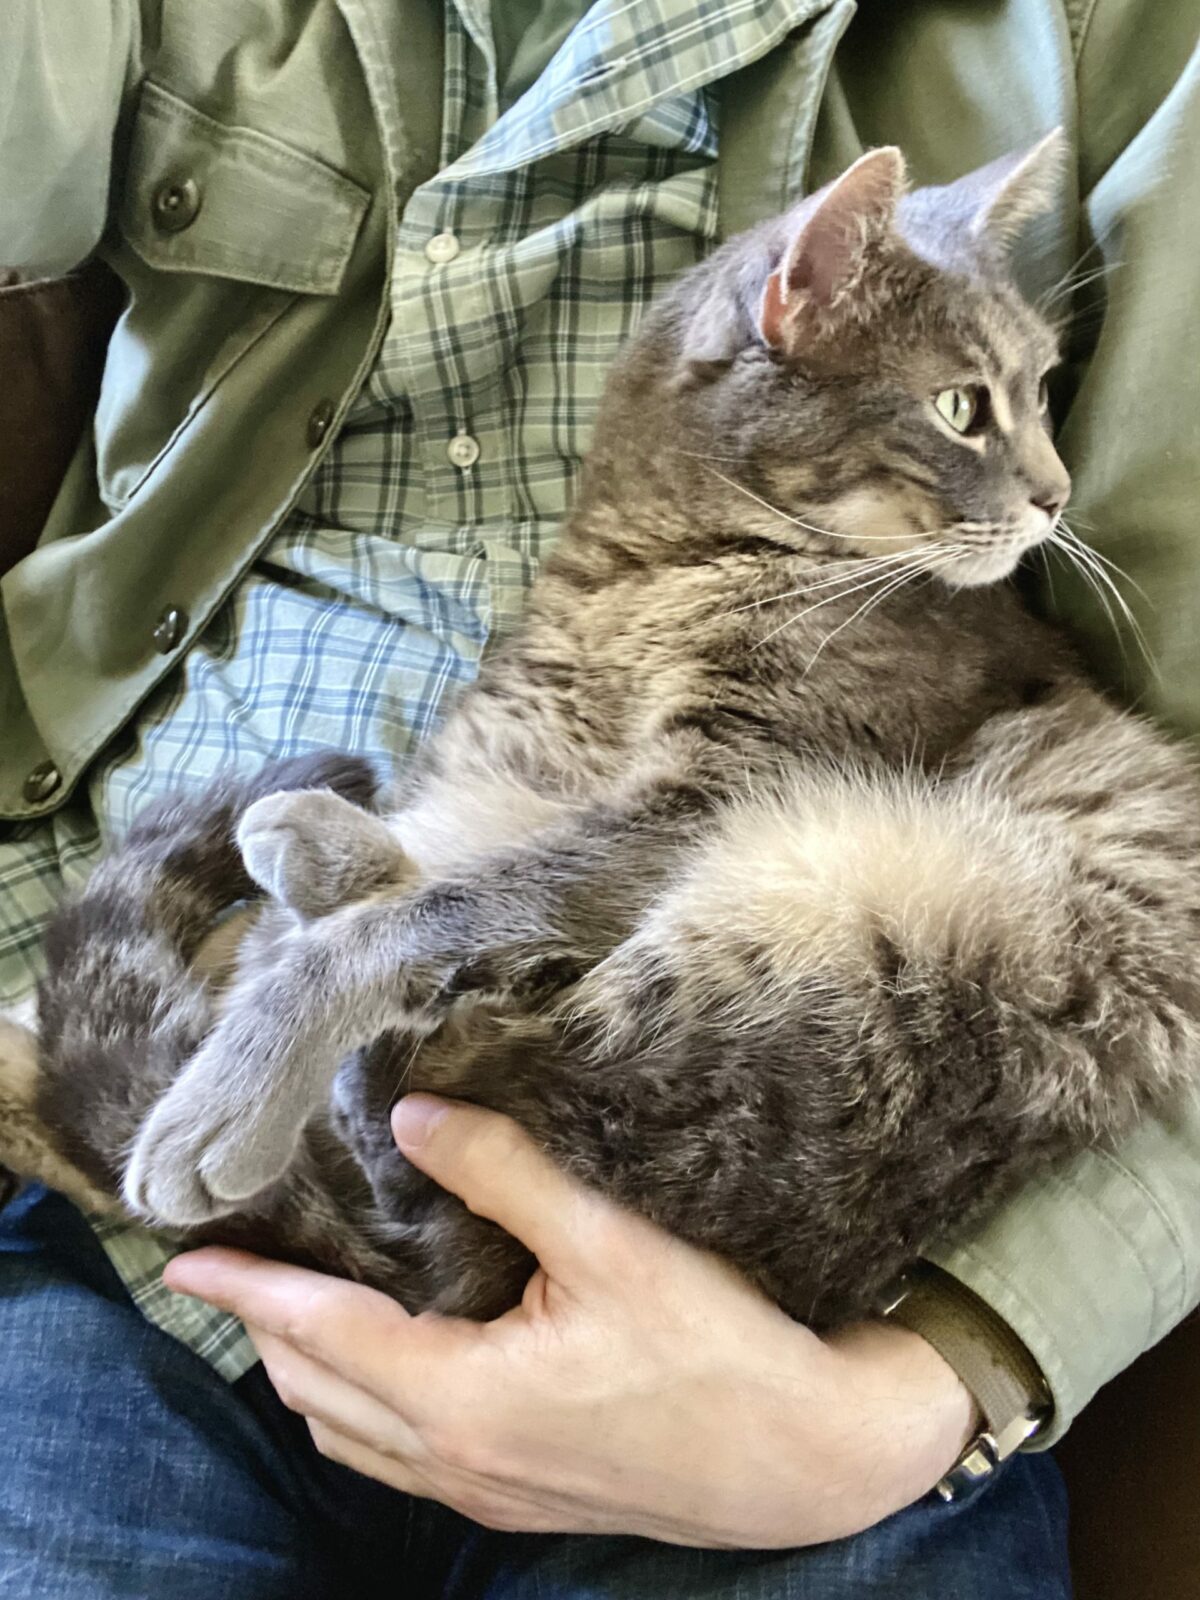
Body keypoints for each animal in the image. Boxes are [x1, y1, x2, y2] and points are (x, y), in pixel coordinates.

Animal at [7, 140, 1200, 1324]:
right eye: (961, 406)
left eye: (1040, 393)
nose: (1059, 493)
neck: (653, 564)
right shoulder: (538, 750)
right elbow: (466, 870)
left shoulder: (708, 797)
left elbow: (428, 916)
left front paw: (234, 1085)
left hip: (827, 959)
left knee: (434, 1080)